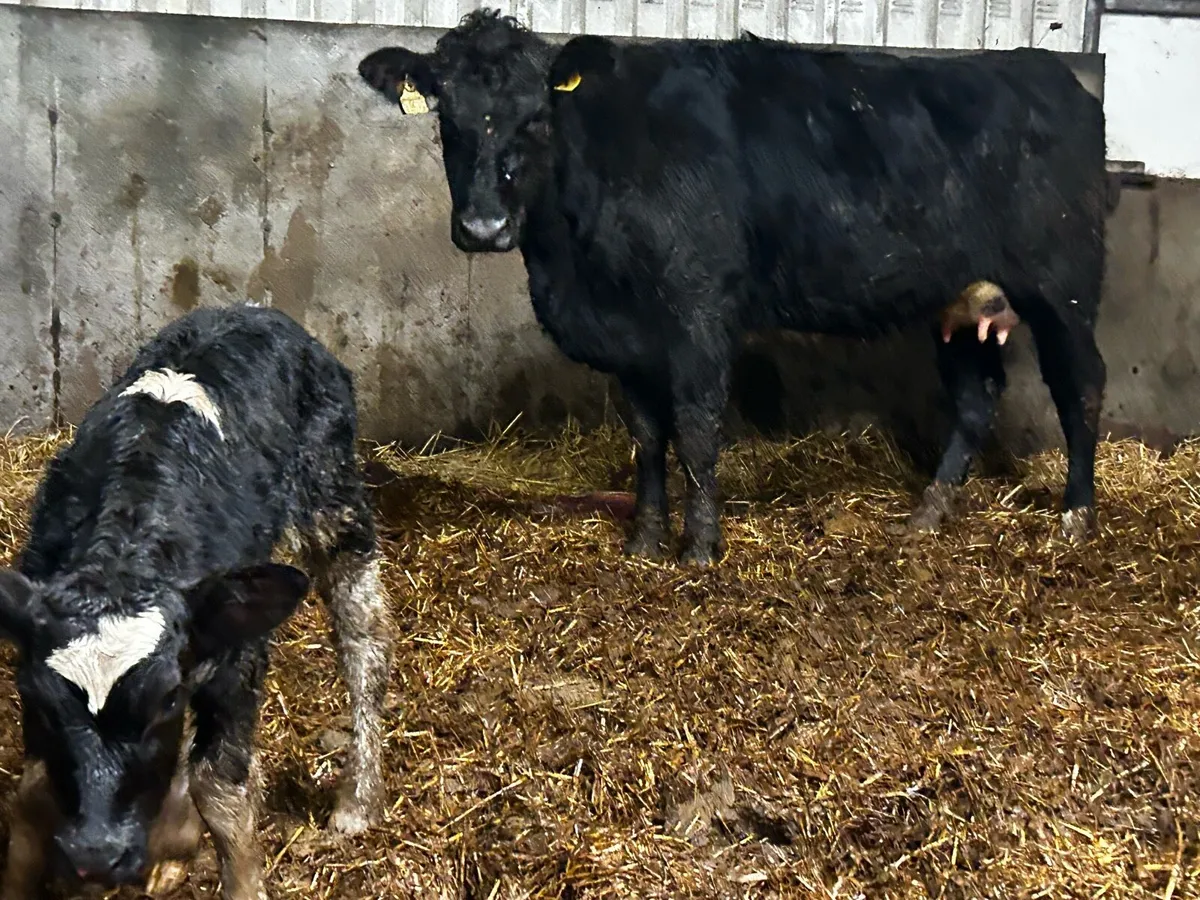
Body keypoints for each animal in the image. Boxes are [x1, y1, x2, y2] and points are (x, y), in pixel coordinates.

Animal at [0, 305, 392, 900]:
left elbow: (220, 791)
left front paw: (232, 874)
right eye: (35, 698)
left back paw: (358, 799)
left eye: (165, 700)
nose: (95, 855)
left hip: (332, 493)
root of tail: (257, 310)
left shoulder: (236, 653)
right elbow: (32, 795)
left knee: (365, 634)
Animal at [357, 12, 1108, 565]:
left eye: (537, 116)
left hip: (1063, 286)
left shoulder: (697, 311)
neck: (572, 266)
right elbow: (646, 436)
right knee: (977, 396)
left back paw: (1074, 514)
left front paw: (700, 548)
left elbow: (695, 430)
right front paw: (645, 540)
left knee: (1082, 385)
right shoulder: (629, 335)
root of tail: (1044, 68)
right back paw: (928, 512)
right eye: (446, 121)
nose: (483, 226)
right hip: (957, 296)